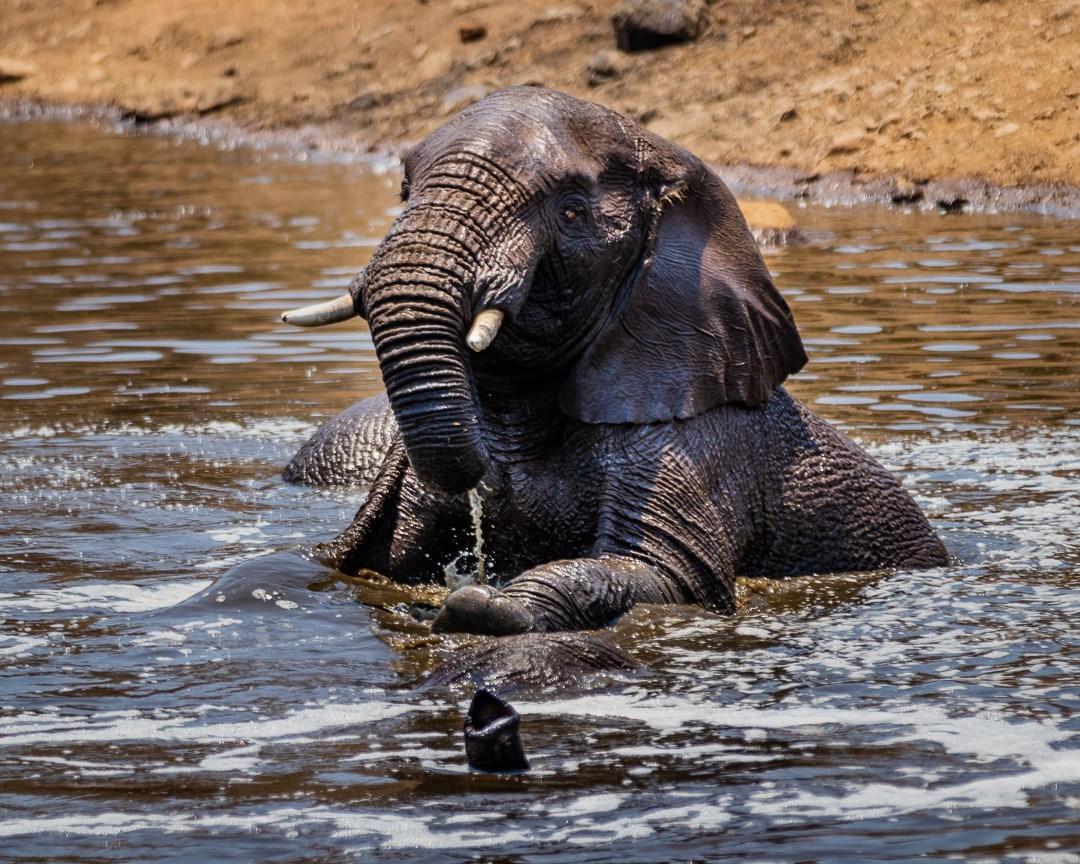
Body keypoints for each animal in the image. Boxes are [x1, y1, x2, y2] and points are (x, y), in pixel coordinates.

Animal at [280, 85, 948, 644]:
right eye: (403, 191)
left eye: (572, 212)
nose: (485, 481)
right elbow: (372, 558)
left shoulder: (698, 446)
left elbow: (664, 571)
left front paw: (483, 607)